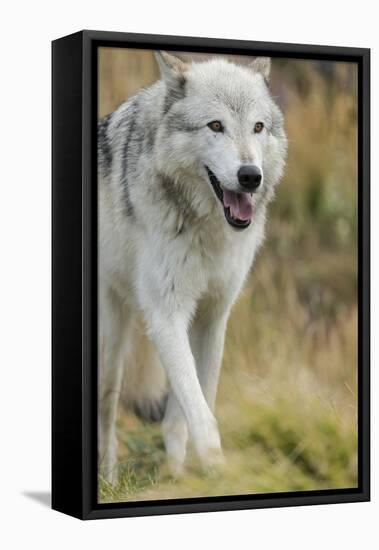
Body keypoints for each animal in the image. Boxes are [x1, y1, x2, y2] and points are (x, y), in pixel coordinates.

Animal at [98, 51, 288, 484]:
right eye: (215, 126)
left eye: (258, 127)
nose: (250, 177)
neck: (207, 230)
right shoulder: (166, 315)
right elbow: (201, 417)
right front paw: (217, 472)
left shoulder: (213, 315)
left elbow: (188, 410)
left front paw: (180, 476)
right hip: (111, 342)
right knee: (106, 410)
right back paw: (108, 481)